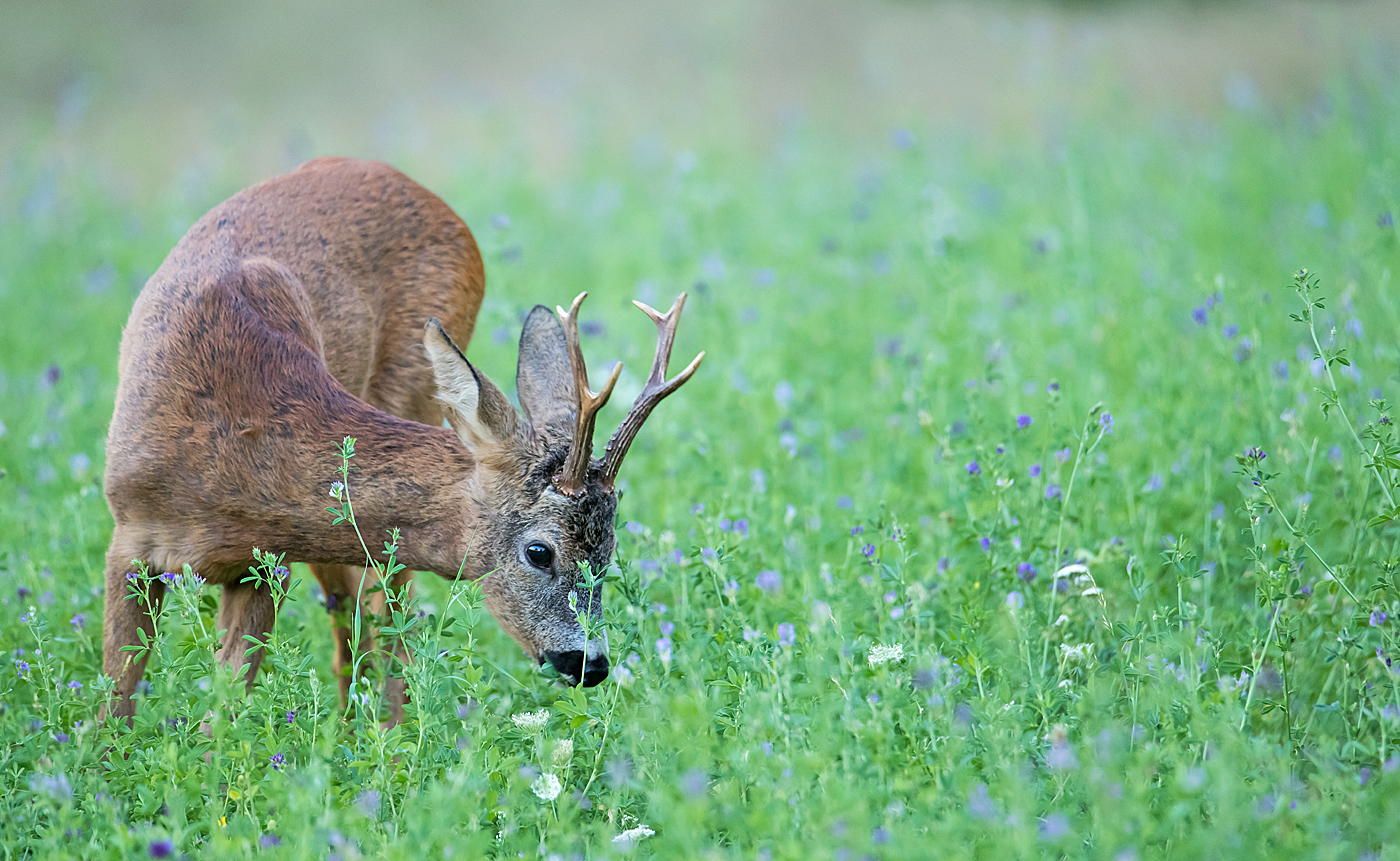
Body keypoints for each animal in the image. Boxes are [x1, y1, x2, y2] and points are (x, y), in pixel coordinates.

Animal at [103, 156, 705, 722]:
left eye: (610, 552)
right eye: (540, 552)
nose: (590, 664)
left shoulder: (267, 564)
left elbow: (223, 719)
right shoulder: (128, 541)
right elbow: (118, 706)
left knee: (383, 616)